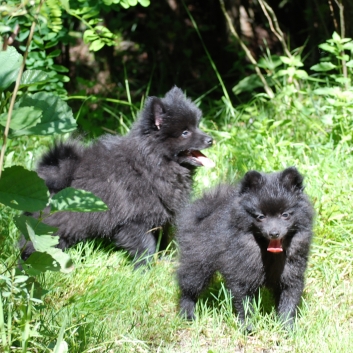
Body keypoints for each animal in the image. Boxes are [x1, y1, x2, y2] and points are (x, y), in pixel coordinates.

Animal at [23, 86, 214, 264]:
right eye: (185, 133)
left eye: (197, 125)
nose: (210, 139)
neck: (148, 164)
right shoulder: (134, 221)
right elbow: (146, 246)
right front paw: (145, 268)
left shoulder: (161, 215)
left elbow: (162, 240)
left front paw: (163, 259)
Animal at [176, 167, 314, 328]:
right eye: (260, 217)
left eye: (285, 215)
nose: (274, 233)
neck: (269, 254)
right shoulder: (242, 274)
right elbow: (245, 302)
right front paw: (248, 327)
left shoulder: (291, 274)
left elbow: (289, 301)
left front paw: (287, 326)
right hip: (198, 262)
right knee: (189, 287)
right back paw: (187, 313)